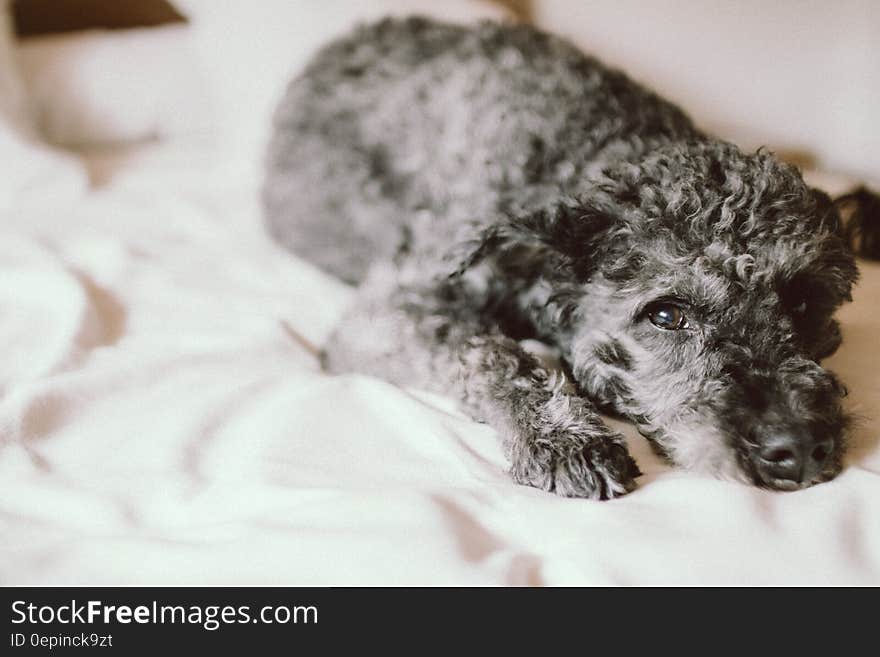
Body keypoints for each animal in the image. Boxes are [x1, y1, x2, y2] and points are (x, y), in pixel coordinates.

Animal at [262, 16, 880, 498]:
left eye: (805, 305)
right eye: (665, 314)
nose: (797, 449)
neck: (591, 154)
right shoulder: (388, 311)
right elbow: (487, 351)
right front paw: (562, 436)